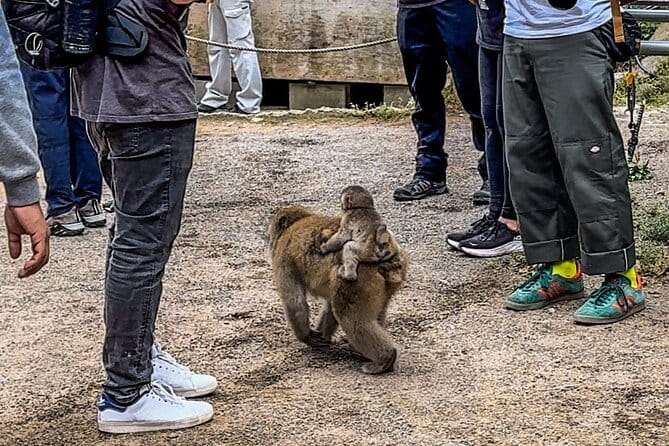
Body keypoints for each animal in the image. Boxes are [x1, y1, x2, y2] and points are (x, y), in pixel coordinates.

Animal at [267, 205, 408, 375]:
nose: (270, 241)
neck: (295, 223)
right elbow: (328, 307)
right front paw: (321, 337)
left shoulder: (283, 259)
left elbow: (294, 302)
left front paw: (306, 337)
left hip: (358, 278)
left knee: (350, 317)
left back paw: (386, 358)